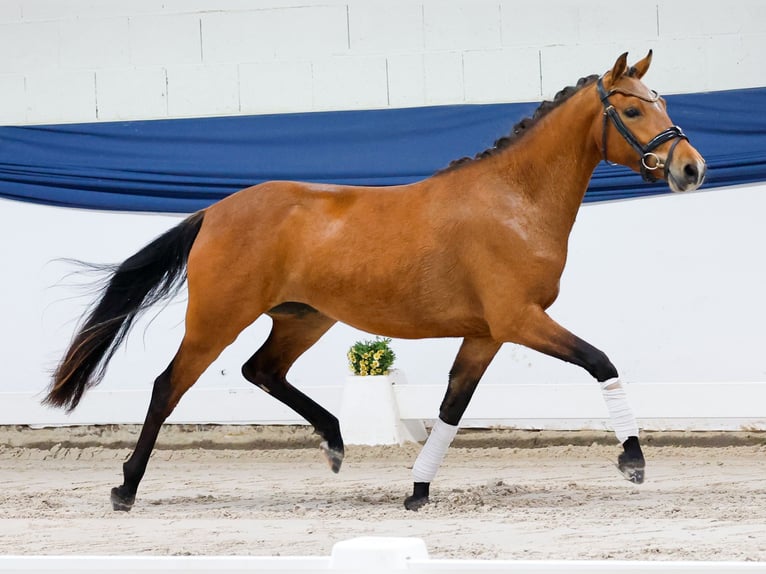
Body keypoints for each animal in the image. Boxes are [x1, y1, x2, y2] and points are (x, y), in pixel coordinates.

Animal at [46, 51, 706, 512]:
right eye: (632, 109)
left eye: (664, 103)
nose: (691, 168)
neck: (514, 201)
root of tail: (216, 211)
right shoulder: (520, 320)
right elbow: (601, 362)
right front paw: (633, 461)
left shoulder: (486, 333)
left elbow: (452, 406)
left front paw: (417, 491)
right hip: (216, 320)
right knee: (168, 387)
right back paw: (125, 489)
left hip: (304, 318)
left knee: (262, 371)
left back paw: (336, 443)